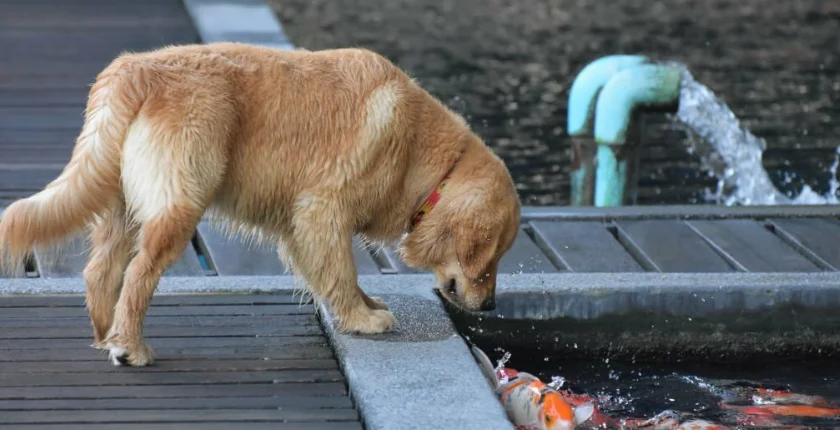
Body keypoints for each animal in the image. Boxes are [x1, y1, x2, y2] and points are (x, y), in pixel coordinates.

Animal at [0, 42, 520, 366]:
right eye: (491, 257)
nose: (492, 306)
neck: (423, 154)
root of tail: (132, 71)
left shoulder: (299, 223)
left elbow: (331, 274)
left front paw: (363, 306)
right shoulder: (322, 210)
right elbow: (342, 270)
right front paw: (363, 317)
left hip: (122, 205)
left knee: (100, 272)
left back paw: (105, 337)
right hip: (181, 202)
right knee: (138, 274)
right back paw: (130, 346)